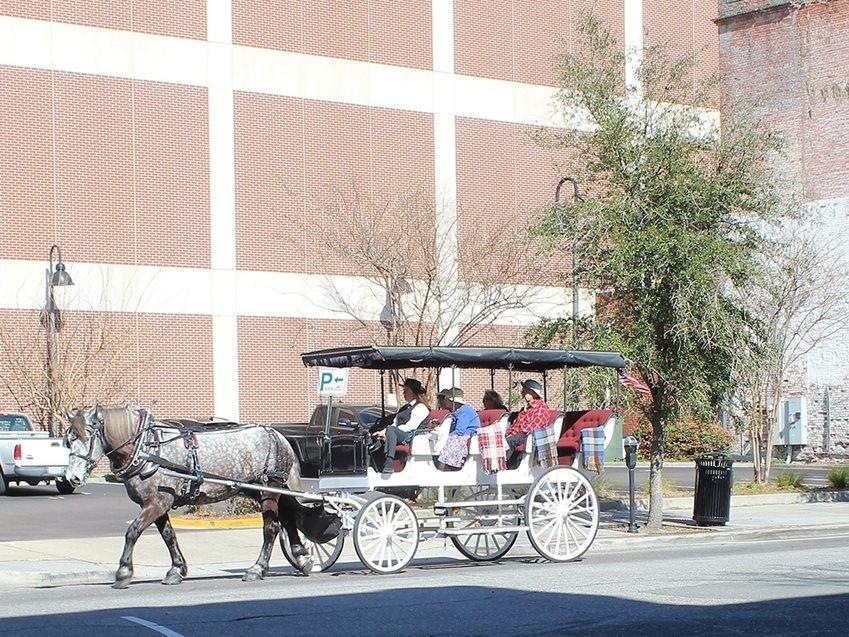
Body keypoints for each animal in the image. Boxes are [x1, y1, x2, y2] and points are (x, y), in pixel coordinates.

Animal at [65, 404, 312, 588]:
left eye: (87, 437)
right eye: (68, 440)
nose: (72, 477)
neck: (146, 449)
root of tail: (277, 434)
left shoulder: (158, 502)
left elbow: (132, 531)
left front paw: (123, 572)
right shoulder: (157, 503)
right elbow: (168, 536)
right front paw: (176, 570)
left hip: (269, 488)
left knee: (271, 528)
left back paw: (257, 568)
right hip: (265, 490)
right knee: (288, 519)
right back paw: (302, 558)